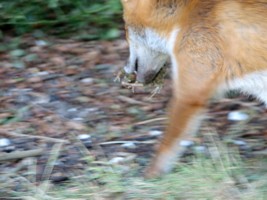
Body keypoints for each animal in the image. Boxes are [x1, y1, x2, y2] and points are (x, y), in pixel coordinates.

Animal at [120, 0, 267, 178]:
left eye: (126, 29)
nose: (125, 70)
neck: (182, 22)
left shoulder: (189, 95)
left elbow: (167, 145)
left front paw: (151, 175)